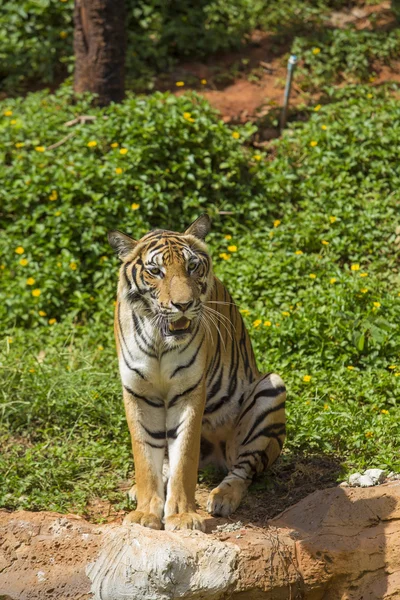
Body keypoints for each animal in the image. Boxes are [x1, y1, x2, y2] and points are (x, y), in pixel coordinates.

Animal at [108, 214, 286, 528]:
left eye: (192, 266)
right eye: (155, 271)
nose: (183, 305)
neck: (159, 340)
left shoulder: (188, 391)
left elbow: (185, 459)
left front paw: (182, 516)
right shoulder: (138, 392)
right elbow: (145, 458)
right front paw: (145, 513)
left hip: (270, 390)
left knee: (243, 470)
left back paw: (222, 497)